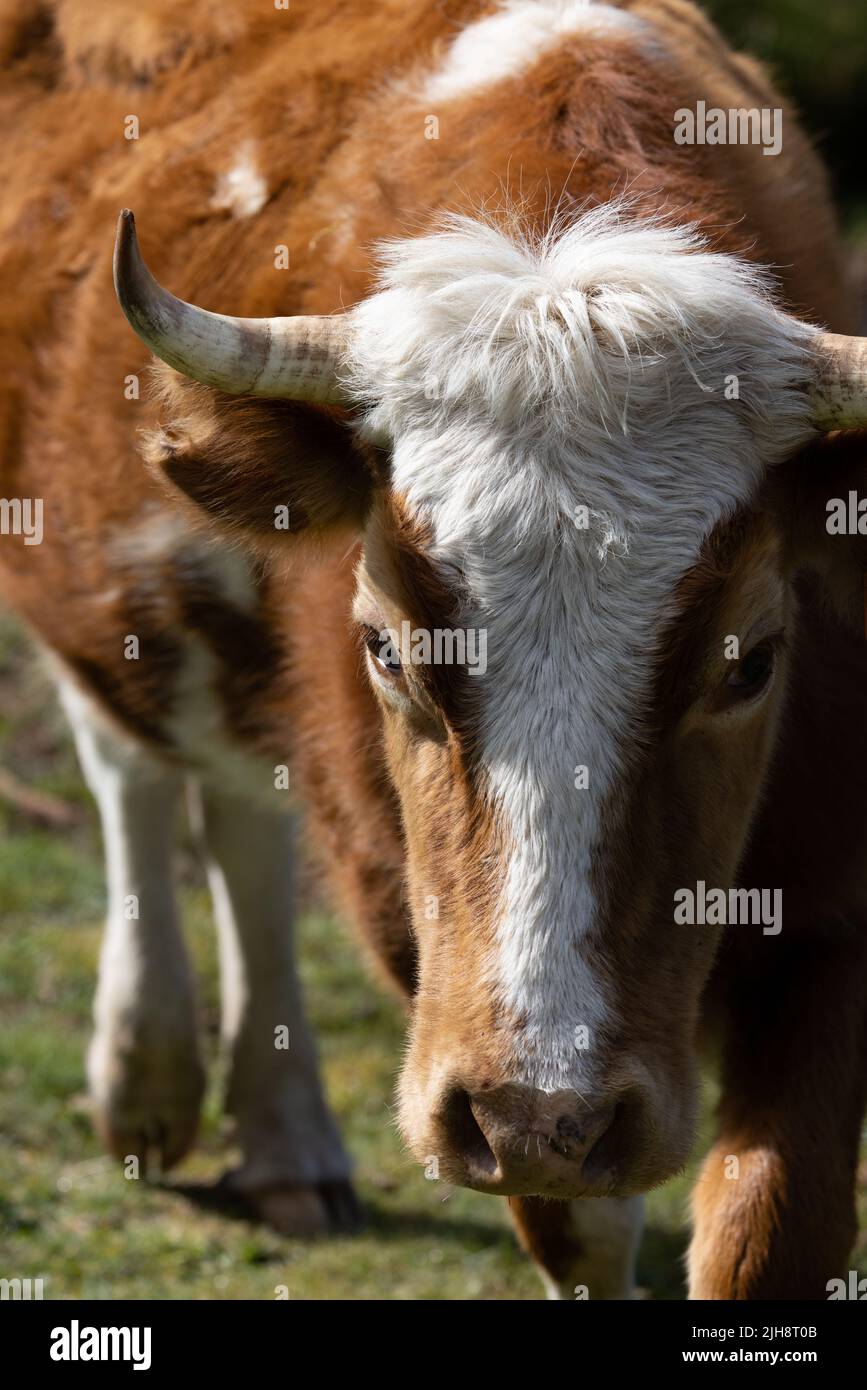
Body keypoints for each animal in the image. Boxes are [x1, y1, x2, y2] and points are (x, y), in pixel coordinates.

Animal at [1, 2, 867, 1301]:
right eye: (387, 649)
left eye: (754, 660)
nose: (545, 1103)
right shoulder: (448, 996)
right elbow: (577, 1230)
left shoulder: (835, 913)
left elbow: (769, 1235)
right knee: (136, 772)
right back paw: (153, 1075)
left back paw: (285, 1136)